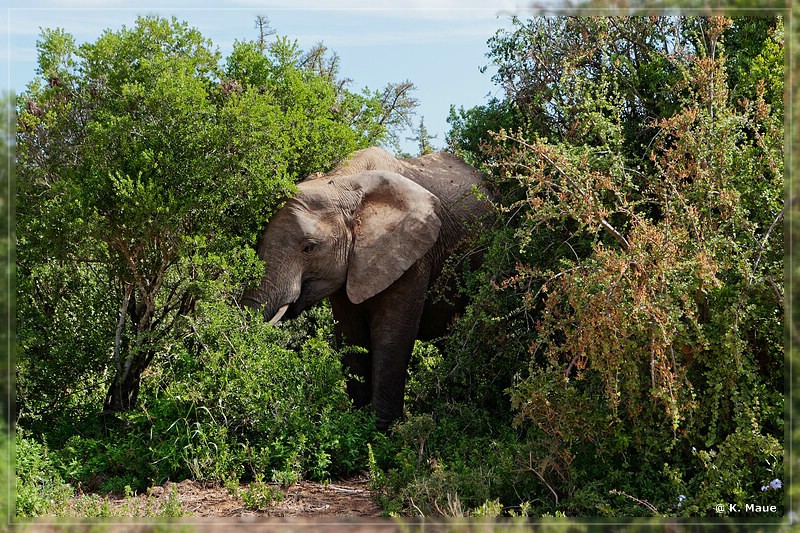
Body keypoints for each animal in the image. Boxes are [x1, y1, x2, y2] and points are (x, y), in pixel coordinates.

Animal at [239, 145, 488, 428]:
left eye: (309, 248)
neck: (343, 183)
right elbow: (351, 337)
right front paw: (359, 424)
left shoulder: (415, 255)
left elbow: (391, 337)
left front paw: (381, 432)